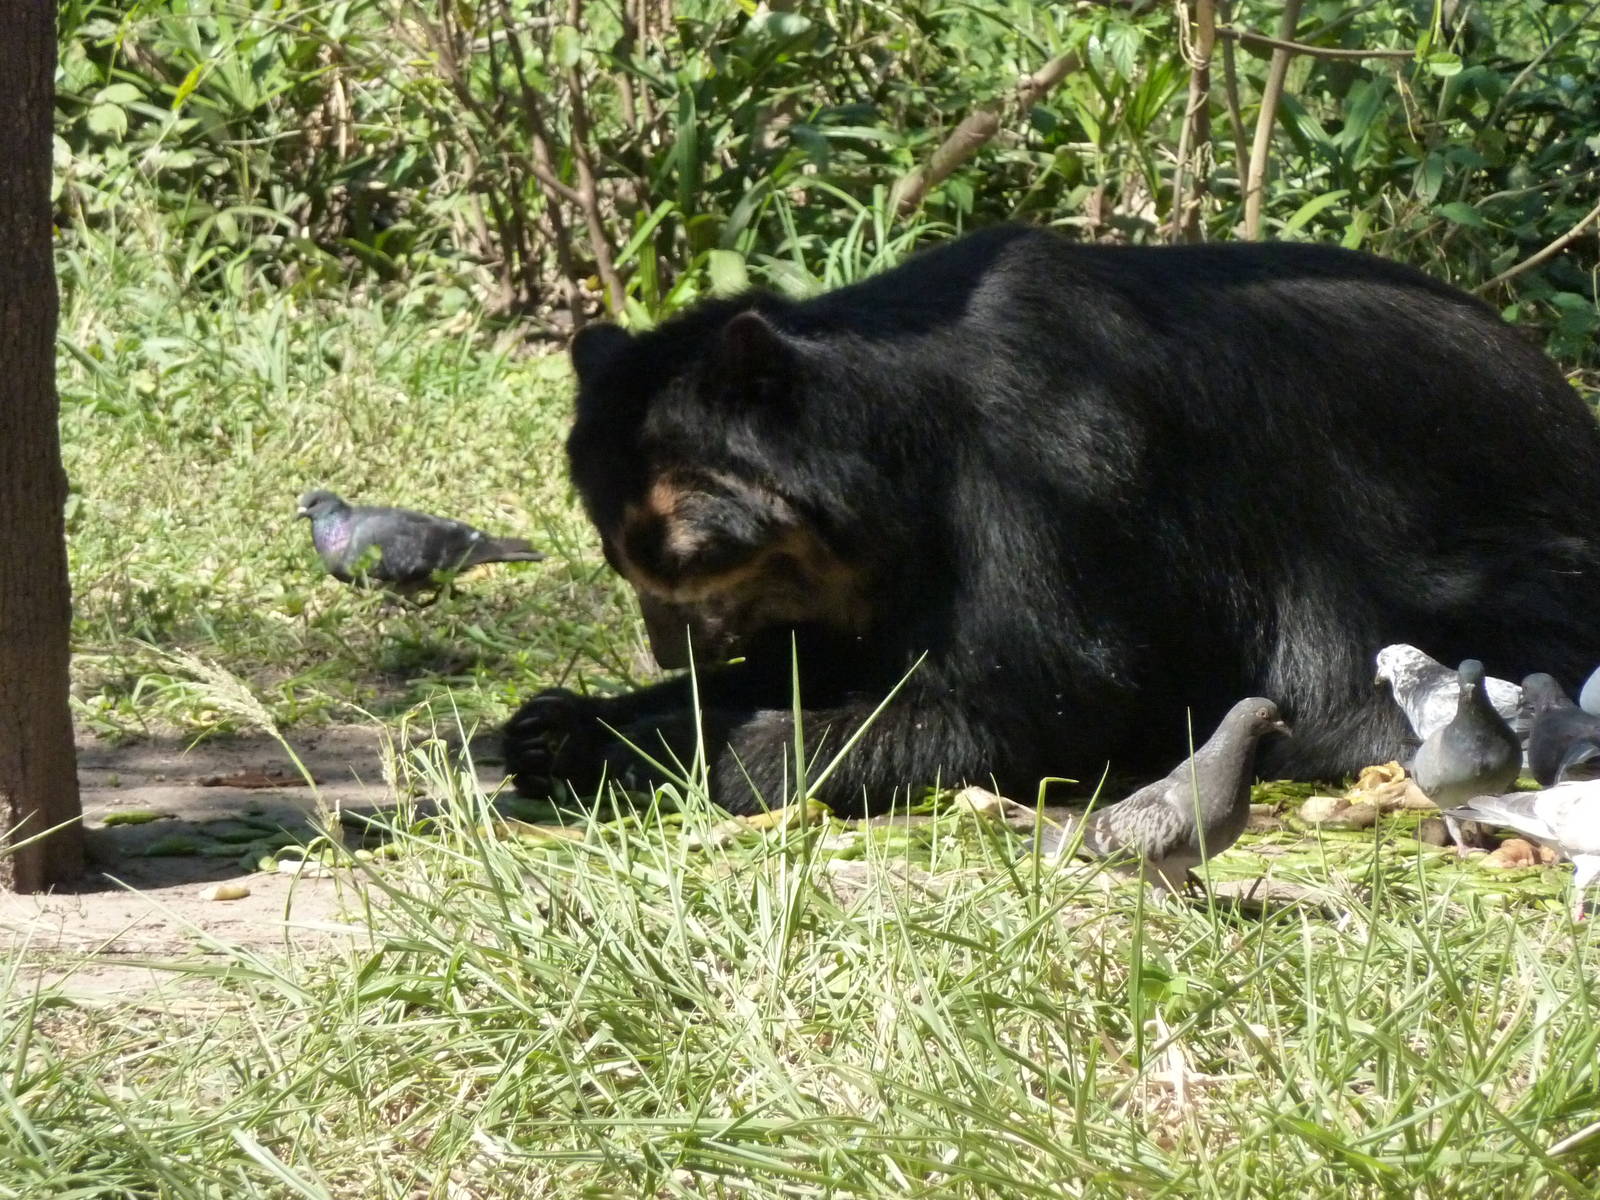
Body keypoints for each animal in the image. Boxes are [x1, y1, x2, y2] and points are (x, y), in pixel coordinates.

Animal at [504, 224, 1600, 816]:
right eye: (621, 564)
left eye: (693, 558)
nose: (668, 650)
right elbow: (837, 660)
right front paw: (552, 725)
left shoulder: (1055, 463)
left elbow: (1039, 699)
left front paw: (635, 755)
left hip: (1474, 565)